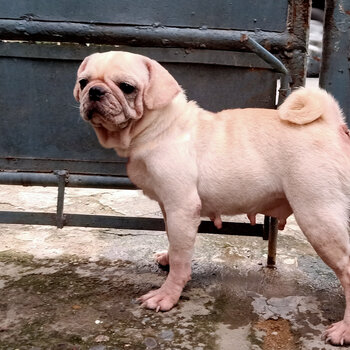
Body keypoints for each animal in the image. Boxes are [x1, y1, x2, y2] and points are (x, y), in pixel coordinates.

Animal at [75, 50, 350, 346]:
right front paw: (169, 257)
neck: (158, 126)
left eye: (127, 87)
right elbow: (174, 242)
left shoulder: (181, 207)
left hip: (318, 217)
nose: (95, 91)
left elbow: (182, 260)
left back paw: (344, 329)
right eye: (83, 82)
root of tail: (332, 124)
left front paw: (167, 295)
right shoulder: (169, 207)